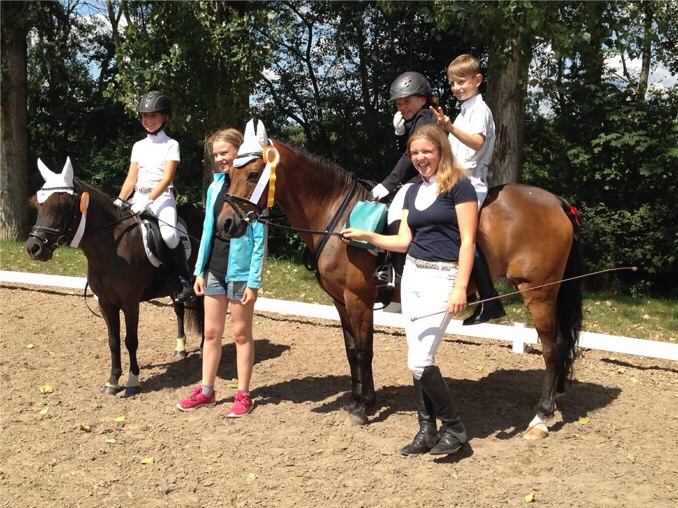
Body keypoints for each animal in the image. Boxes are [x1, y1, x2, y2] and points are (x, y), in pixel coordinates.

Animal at [25, 158, 205, 397]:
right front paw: (112, 381)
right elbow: (113, 341)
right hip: (174, 288)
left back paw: (204, 348)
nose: (33, 248)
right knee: (179, 309)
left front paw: (132, 381)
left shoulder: (130, 303)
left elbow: (131, 340)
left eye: (61, 205)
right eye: (39, 205)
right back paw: (180, 348)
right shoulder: (106, 303)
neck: (112, 248)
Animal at [217, 139, 583, 439]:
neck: (336, 216)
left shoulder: (358, 300)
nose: (226, 224)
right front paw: (356, 400)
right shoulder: (340, 302)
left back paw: (541, 417)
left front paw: (364, 408)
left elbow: (364, 352)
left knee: (553, 348)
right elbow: (351, 351)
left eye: (253, 174)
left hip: (539, 291)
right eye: (231, 173)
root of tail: (556, 201)